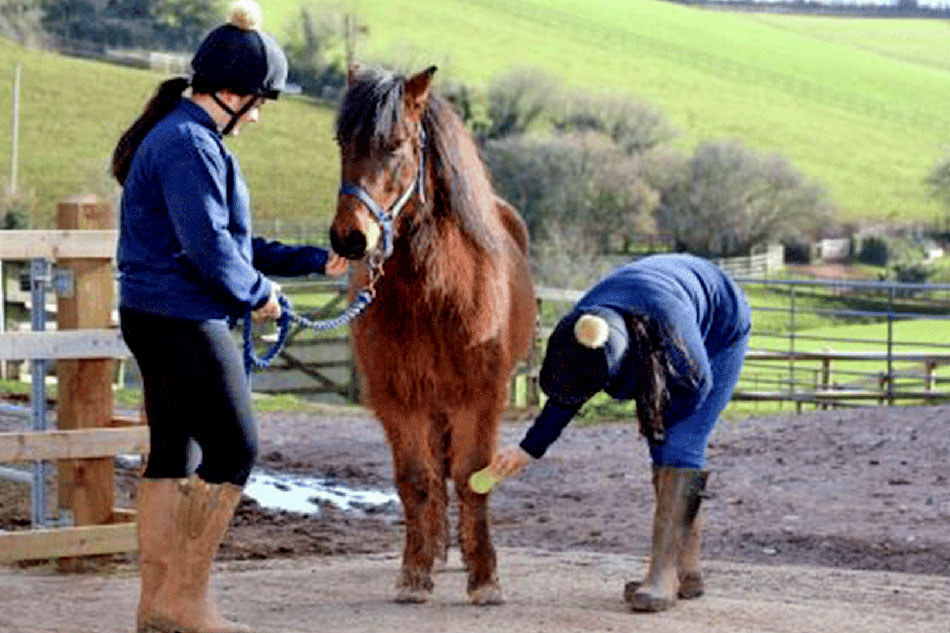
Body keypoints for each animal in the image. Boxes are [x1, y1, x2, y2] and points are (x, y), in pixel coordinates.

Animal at [330, 66, 536, 604]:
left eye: (397, 144)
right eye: (342, 141)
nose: (350, 238)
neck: (435, 296)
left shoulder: (480, 397)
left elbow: (471, 477)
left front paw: (484, 577)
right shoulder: (398, 399)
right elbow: (417, 480)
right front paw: (415, 571)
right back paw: (442, 551)